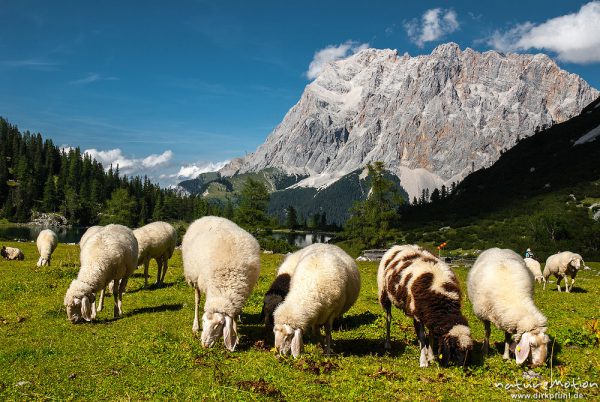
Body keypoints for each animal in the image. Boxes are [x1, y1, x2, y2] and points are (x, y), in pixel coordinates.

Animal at [180, 217, 260, 352]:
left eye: (219, 325)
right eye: (204, 321)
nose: (204, 345)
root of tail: (209, 216)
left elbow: (235, 316)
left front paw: (235, 336)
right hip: (195, 278)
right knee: (197, 300)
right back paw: (195, 325)